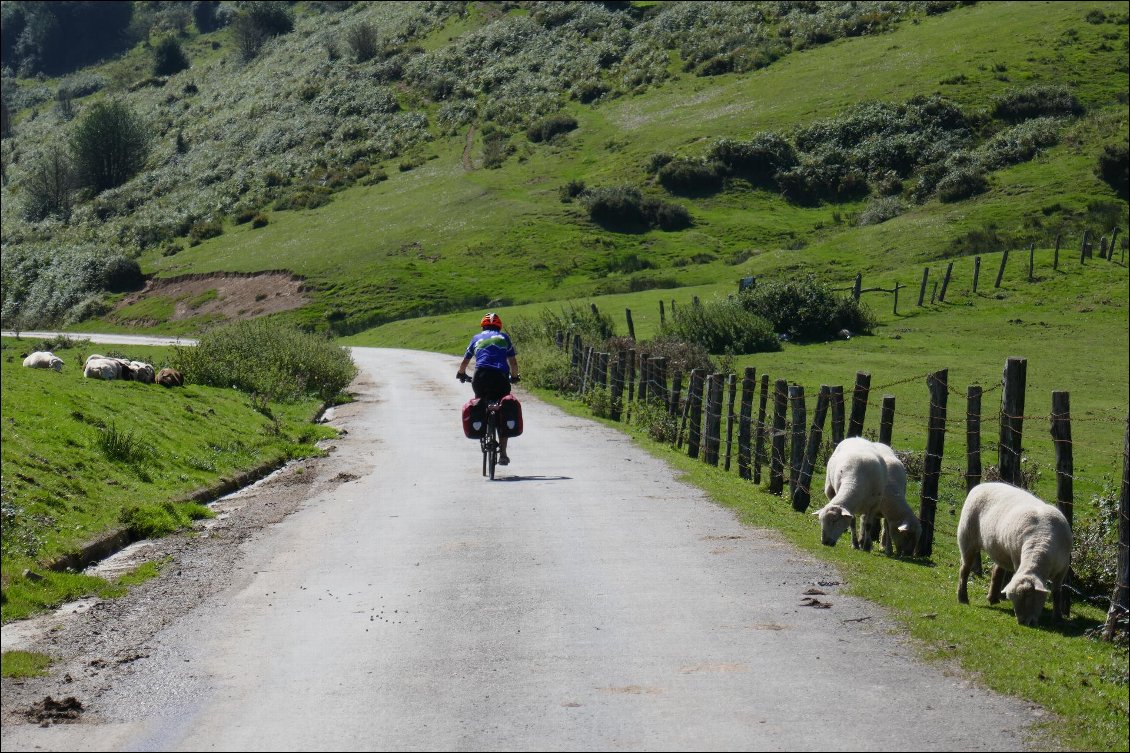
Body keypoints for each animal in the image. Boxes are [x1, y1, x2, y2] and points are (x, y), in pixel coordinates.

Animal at [958, 483, 1071, 624]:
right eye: (1014, 601)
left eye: (1031, 598)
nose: (1023, 622)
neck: (1041, 539)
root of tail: (981, 485)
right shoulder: (1017, 559)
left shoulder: (1063, 569)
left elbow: (1056, 593)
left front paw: (1057, 617)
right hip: (967, 537)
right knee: (964, 569)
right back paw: (962, 597)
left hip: (1000, 549)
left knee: (997, 570)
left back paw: (993, 598)